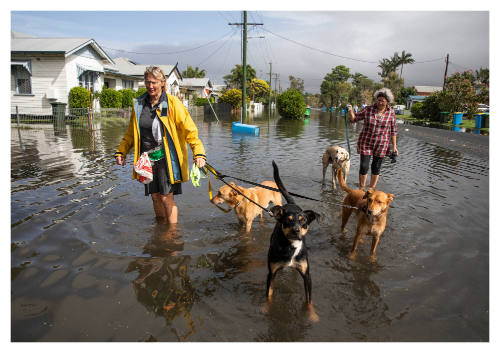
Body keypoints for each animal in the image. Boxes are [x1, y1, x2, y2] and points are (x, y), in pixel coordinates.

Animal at [266, 161, 320, 320]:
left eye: (303, 221)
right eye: (288, 221)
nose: (296, 230)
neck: (290, 246)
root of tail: (291, 203)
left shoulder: (307, 275)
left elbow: (309, 299)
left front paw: (311, 314)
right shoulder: (271, 273)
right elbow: (269, 295)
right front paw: (266, 309)